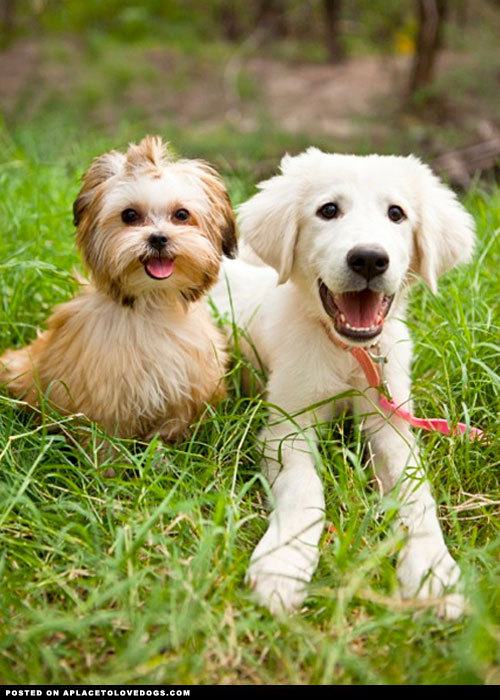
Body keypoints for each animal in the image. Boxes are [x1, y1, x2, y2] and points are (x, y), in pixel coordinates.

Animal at [212, 148, 476, 616]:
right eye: (328, 210)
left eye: (396, 213)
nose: (369, 258)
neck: (348, 354)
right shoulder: (287, 428)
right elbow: (306, 490)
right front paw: (282, 565)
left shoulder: (390, 421)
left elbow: (416, 489)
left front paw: (432, 571)